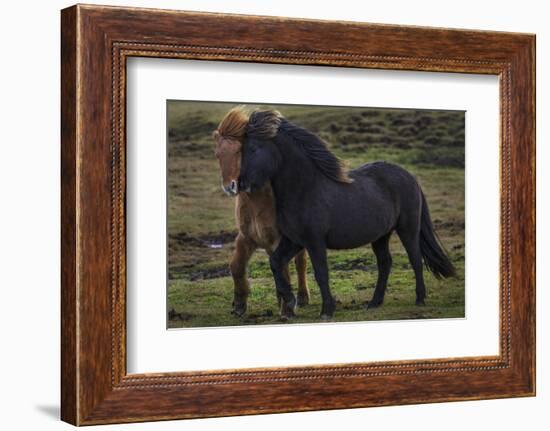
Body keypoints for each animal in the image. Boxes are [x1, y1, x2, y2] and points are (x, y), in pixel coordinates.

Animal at [213, 107, 310, 318]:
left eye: (240, 150)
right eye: (217, 154)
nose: (229, 187)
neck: (257, 203)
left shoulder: (279, 240)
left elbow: (284, 268)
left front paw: (288, 309)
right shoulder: (246, 238)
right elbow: (236, 266)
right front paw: (239, 305)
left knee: (300, 263)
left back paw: (302, 298)